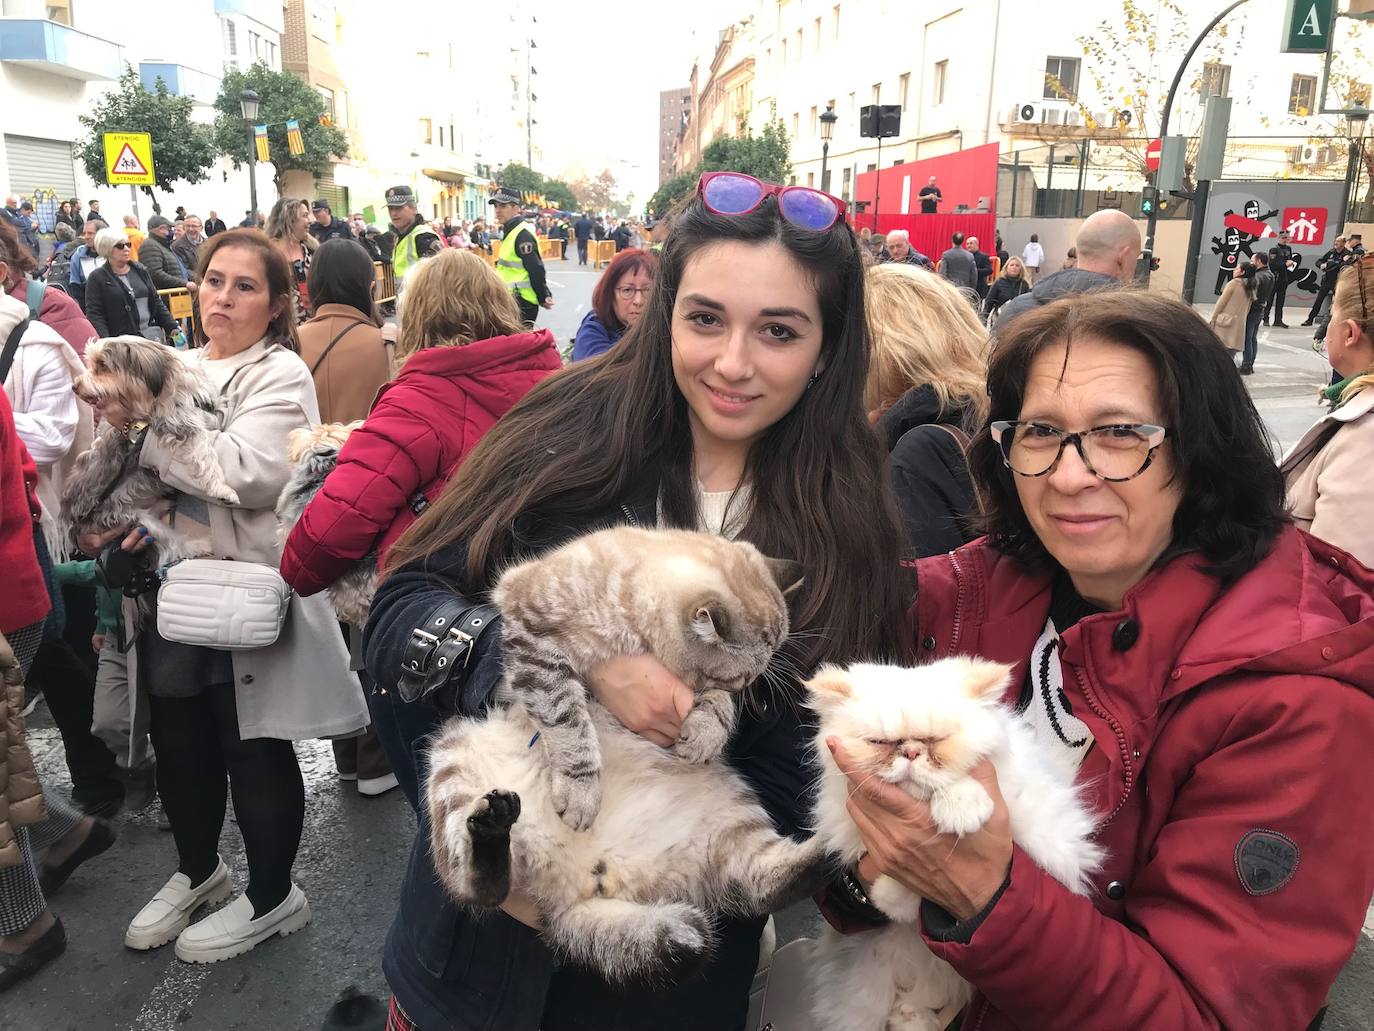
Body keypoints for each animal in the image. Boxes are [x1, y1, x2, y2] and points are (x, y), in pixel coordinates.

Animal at [802, 657, 1104, 1031]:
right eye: (880, 742)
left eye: (936, 740)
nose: (911, 752)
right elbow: (898, 896)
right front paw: (894, 896)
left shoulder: (1058, 842)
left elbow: (966, 786)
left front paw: (962, 807)